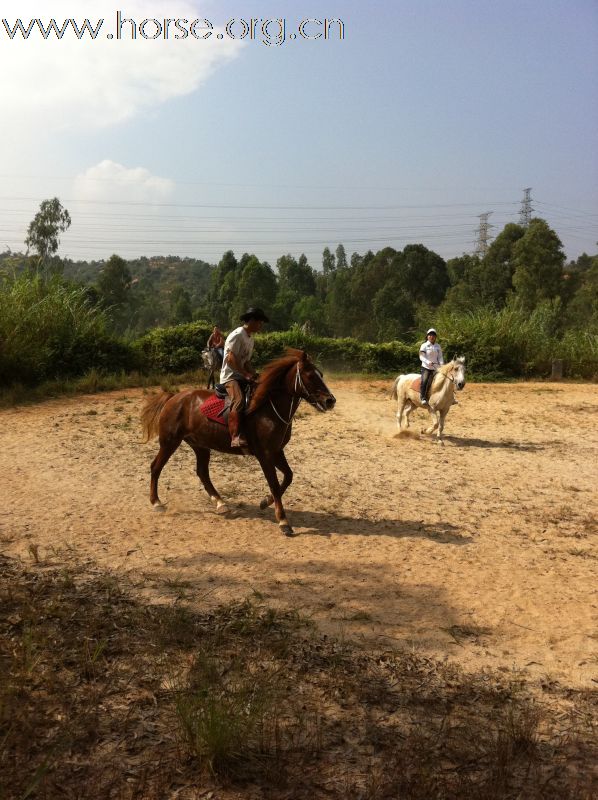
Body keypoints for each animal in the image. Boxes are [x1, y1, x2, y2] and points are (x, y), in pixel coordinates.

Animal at [141, 350, 338, 536]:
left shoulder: (276, 451)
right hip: (170, 441)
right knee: (156, 467)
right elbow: (274, 484)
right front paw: (283, 521)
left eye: (321, 374)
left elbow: (288, 476)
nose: (330, 401)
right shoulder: (264, 455)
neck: (268, 408)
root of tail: (173, 397)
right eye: (310, 375)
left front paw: (265, 502)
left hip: (200, 445)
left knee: (202, 472)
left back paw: (220, 503)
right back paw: (156, 502)